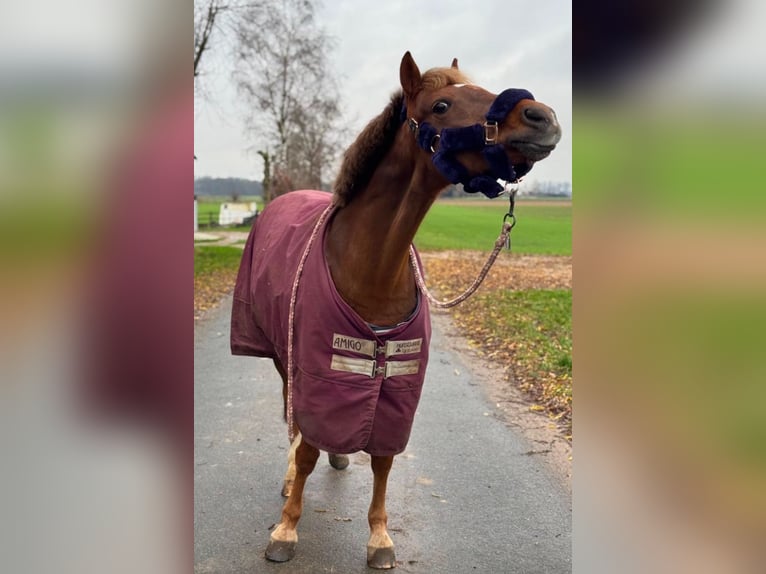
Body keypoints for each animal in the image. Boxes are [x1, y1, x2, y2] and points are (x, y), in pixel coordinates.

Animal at [231, 50, 560, 572]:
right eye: (442, 105)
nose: (540, 116)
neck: (372, 270)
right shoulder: (316, 372)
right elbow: (305, 455)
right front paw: (286, 528)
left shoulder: (395, 388)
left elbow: (383, 459)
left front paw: (380, 538)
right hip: (284, 359)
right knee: (293, 423)